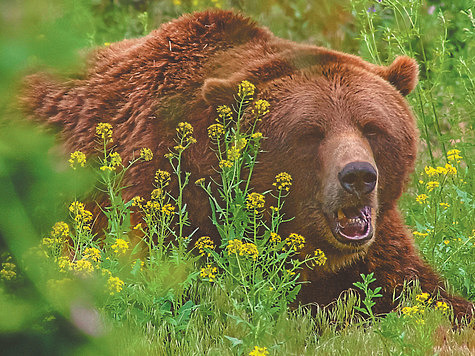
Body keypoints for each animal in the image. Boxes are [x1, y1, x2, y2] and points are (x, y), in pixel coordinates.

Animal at [21, 9, 472, 318]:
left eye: (372, 127)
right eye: (311, 133)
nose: (358, 176)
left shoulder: (375, 243)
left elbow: (419, 290)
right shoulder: (163, 197)